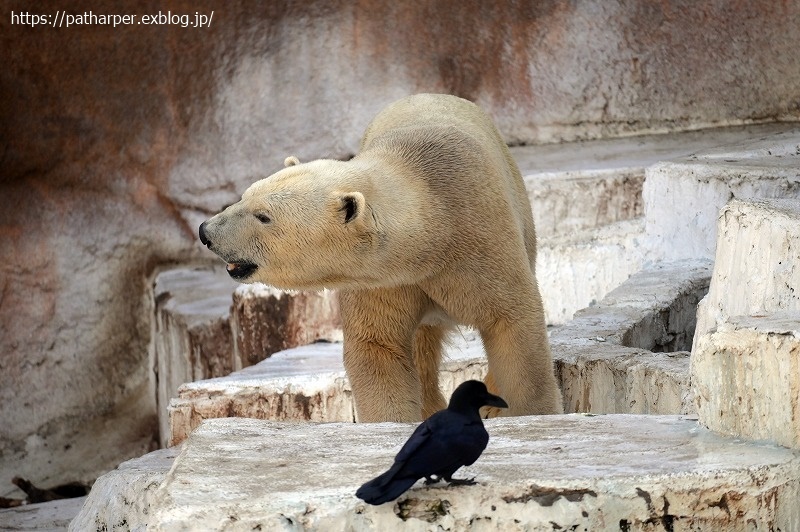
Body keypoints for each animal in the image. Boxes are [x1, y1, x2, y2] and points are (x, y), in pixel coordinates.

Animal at [199, 93, 564, 422]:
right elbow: (378, 346)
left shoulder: (481, 242)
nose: (205, 231)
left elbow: (511, 323)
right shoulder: (382, 278)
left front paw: (526, 411)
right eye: (244, 196)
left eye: (263, 216)